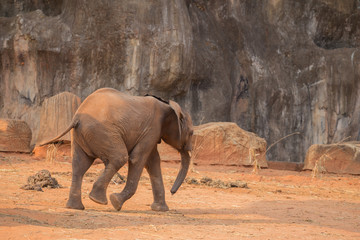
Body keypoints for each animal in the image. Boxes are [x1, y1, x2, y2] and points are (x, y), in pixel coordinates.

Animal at [40, 87, 193, 211]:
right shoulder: (152, 128)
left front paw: (160, 210)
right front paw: (116, 203)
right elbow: (138, 159)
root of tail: (76, 117)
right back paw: (98, 200)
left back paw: (75, 207)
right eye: (191, 133)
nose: (173, 192)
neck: (167, 104)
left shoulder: (151, 133)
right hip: (102, 131)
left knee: (79, 165)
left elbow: (153, 162)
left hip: (81, 135)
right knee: (119, 157)